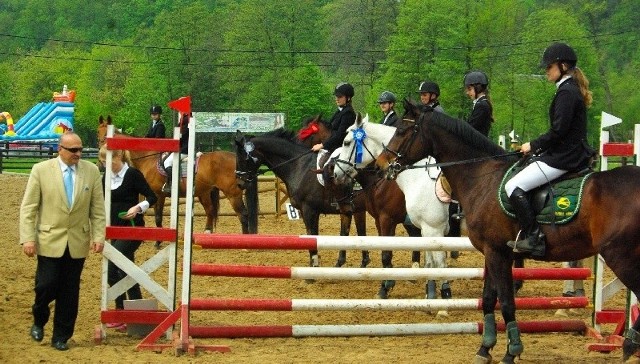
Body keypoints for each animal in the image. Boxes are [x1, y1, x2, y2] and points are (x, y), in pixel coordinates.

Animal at [112, 132, 250, 240]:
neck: (147, 160)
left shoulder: (158, 194)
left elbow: (158, 217)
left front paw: (158, 241)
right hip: (204, 193)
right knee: (210, 211)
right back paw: (207, 232)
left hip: (232, 194)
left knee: (243, 214)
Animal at [238, 127, 370, 268]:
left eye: (243, 158)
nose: (240, 183)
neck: (299, 165)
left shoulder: (309, 210)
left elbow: (312, 235)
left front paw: (314, 265)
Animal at [336, 116, 450, 316]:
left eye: (347, 142)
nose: (336, 174)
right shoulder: (382, 221)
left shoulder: (389, 220)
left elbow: (386, 255)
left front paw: (385, 287)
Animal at [376, 99, 640, 364]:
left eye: (402, 131)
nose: (380, 165)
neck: (481, 177)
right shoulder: (493, 252)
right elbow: (488, 300)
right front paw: (485, 348)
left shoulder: (494, 251)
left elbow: (505, 302)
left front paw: (511, 351)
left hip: (620, 256)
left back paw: (629, 344)